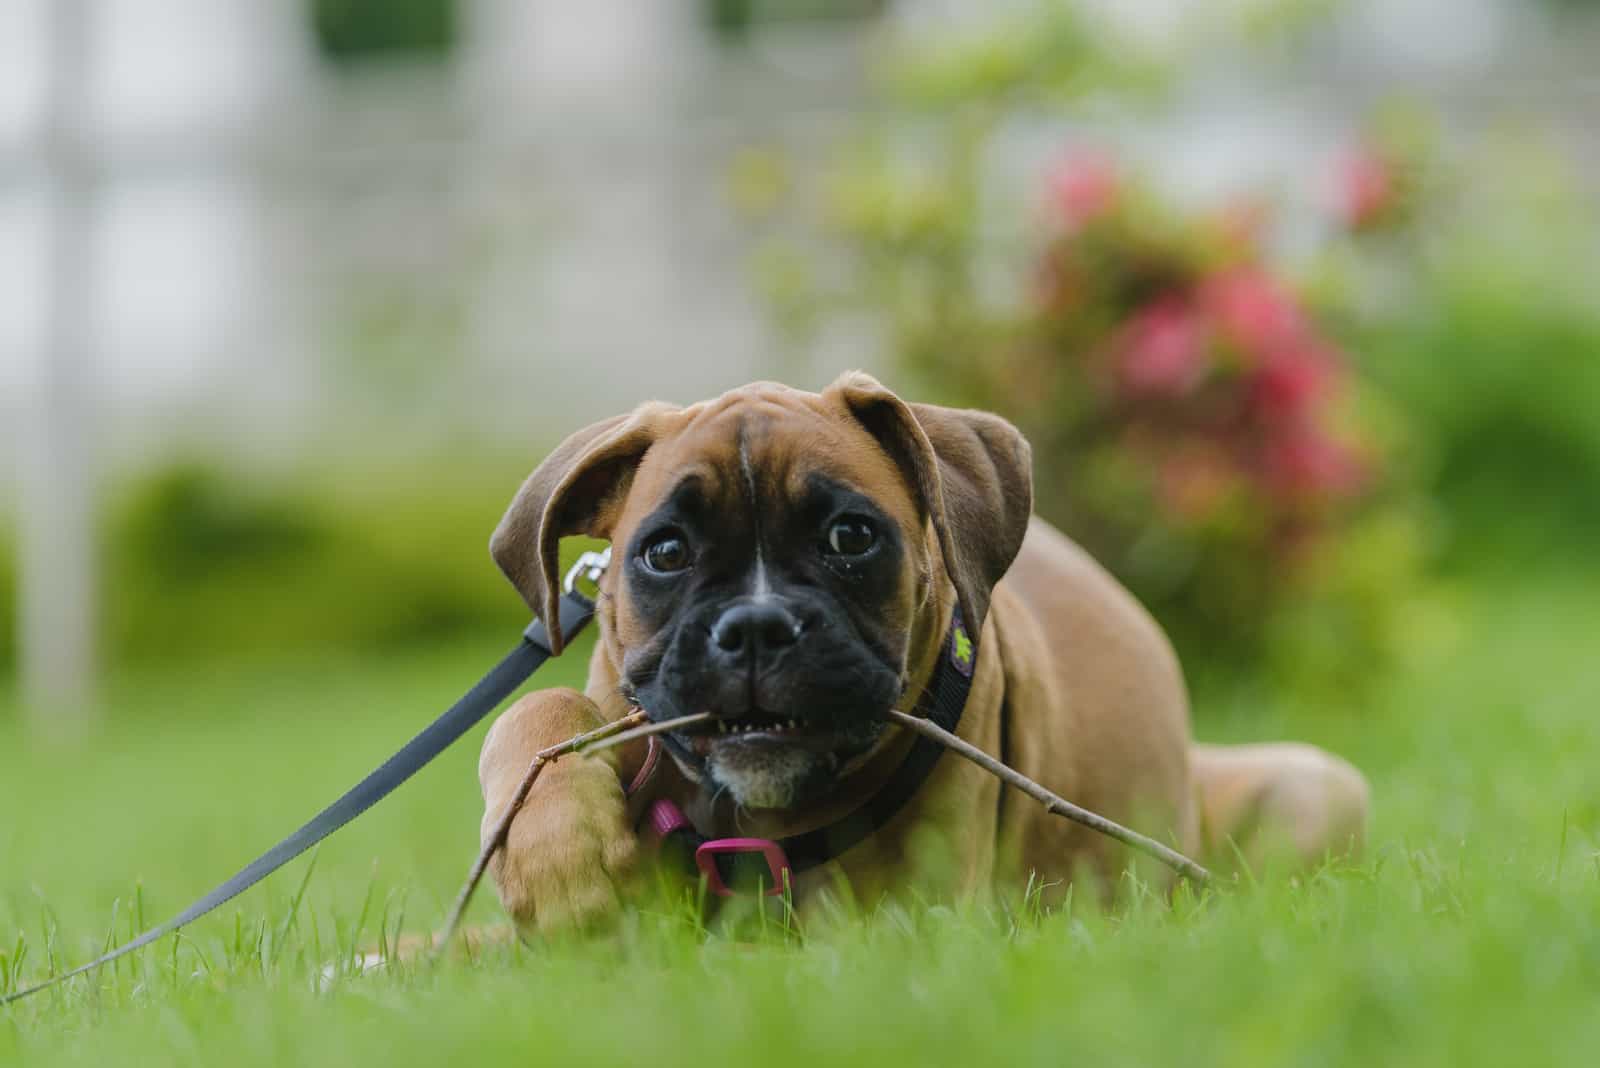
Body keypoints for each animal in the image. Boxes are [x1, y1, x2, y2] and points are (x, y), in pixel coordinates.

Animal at [473, 375, 1363, 933]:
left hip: (1315, 789)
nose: (757, 626)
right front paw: (556, 858)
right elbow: (535, 715)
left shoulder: (905, 920)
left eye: (850, 537)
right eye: (664, 552)